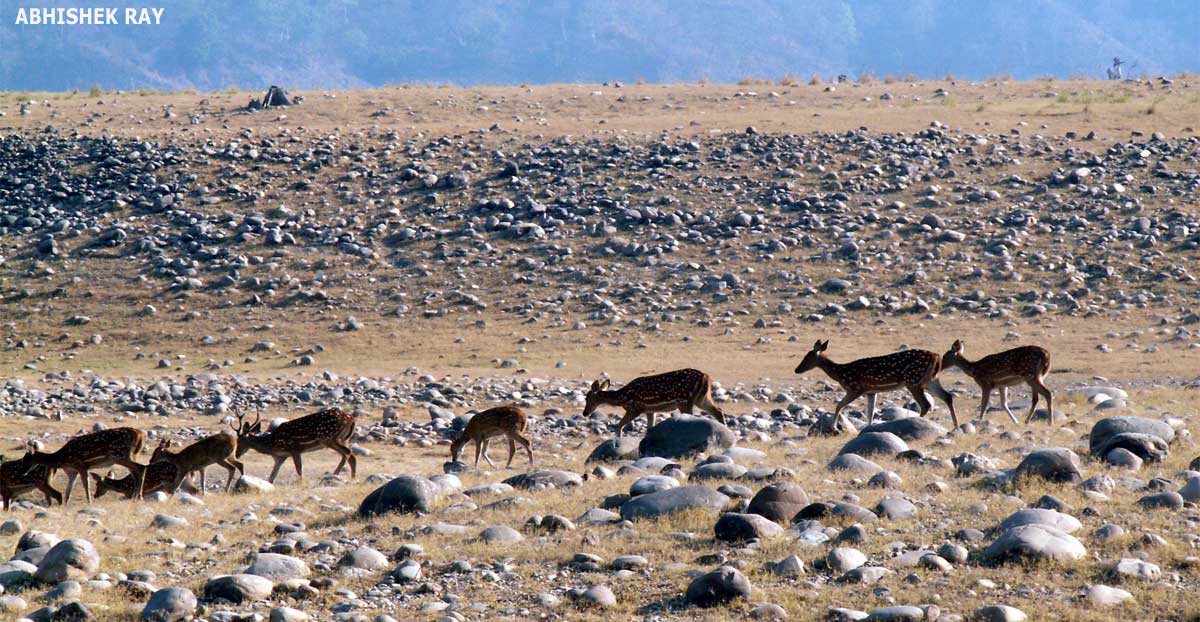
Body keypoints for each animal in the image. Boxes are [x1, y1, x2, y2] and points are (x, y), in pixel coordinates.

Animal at [578, 367, 720, 437]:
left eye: (587, 398)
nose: (585, 413)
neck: (622, 398)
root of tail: (706, 376)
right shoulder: (650, 410)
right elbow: (649, 428)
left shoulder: (634, 408)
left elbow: (619, 425)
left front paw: (617, 440)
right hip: (702, 398)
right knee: (718, 411)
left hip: (684, 400)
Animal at [792, 341, 960, 434]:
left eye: (807, 357)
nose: (796, 370)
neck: (841, 374)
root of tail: (937, 357)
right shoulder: (871, 392)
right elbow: (870, 413)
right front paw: (868, 429)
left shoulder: (855, 388)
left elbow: (839, 405)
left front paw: (834, 428)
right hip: (930, 379)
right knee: (947, 396)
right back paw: (955, 427)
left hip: (913, 381)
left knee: (926, 404)